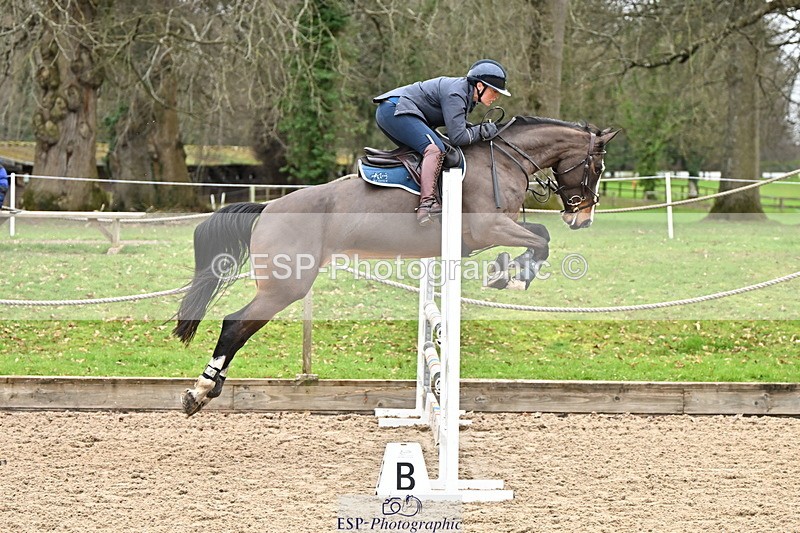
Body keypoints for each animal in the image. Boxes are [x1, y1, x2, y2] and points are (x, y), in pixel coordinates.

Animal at [174, 116, 619, 415]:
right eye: (597, 168)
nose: (583, 219)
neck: (506, 159)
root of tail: (266, 207)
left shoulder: (494, 230)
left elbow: (539, 234)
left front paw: (505, 272)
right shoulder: (488, 227)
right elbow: (541, 239)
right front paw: (511, 278)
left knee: (239, 326)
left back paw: (206, 390)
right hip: (286, 286)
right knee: (235, 324)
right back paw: (200, 391)